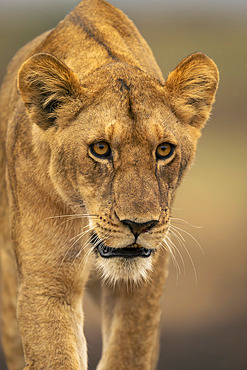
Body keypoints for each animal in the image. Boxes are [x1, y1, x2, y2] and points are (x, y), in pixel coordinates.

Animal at [0, 0, 218, 370]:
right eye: (101, 149)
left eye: (164, 150)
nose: (139, 225)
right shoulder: (47, 279)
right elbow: (54, 352)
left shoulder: (143, 285)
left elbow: (129, 352)